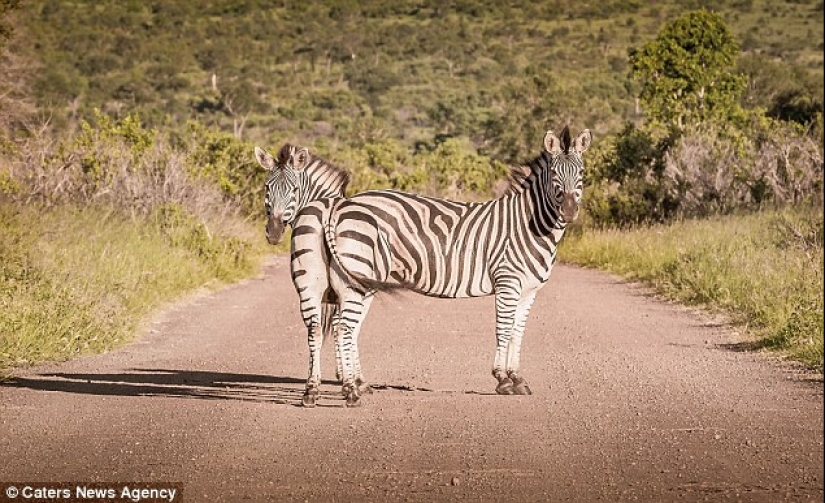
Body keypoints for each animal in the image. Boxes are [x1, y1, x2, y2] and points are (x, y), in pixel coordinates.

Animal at [324, 126, 592, 406]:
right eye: (554, 174)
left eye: (582, 172)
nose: (569, 211)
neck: (530, 226)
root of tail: (345, 203)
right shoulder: (507, 282)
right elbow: (503, 329)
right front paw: (502, 379)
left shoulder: (529, 290)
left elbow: (517, 332)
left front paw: (517, 378)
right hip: (358, 273)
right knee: (344, 325)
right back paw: (349, 387)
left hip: (364, 278)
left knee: (346, 325)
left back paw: (358, 383)